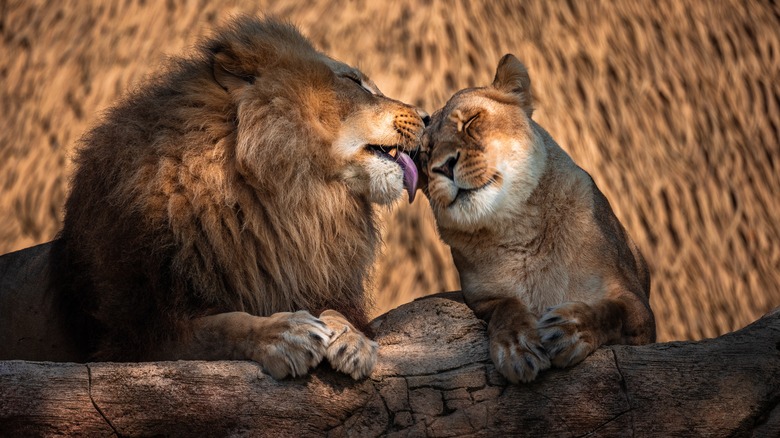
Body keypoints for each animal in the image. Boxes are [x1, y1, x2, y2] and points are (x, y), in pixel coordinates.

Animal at [4, 16, 426, 380]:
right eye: (353, 81)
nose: (426, 116)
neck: (290, 205)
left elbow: (338, 310)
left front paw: (351, 338)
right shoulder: (135, 338)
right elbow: (221, 326)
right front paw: (284, 332)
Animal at [418, 54, 656, 384]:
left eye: (471, 121)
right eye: (425, 154)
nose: (442, 166)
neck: (517, 231)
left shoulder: (639, 307)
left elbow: (611, 311)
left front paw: (567, 330)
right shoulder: (479, 301)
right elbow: (507, 307)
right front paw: (518, 350)